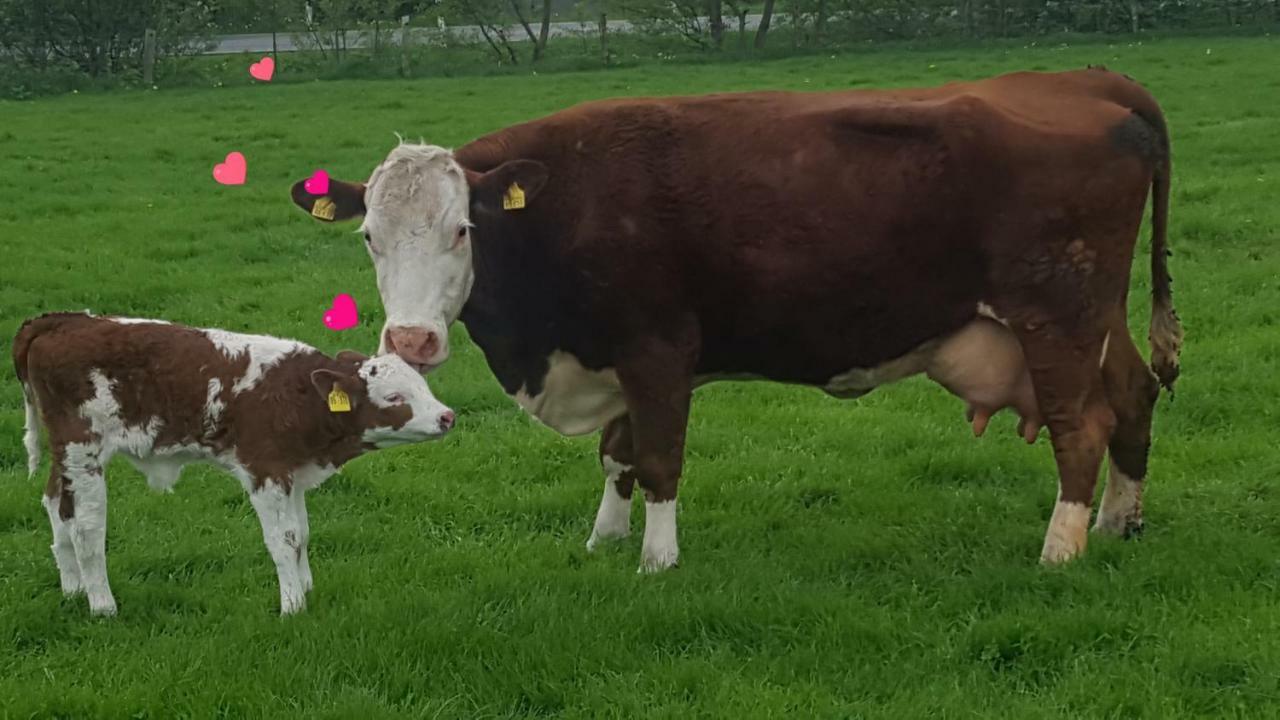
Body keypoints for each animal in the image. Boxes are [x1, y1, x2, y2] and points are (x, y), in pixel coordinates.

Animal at [13, 311, 455, 614]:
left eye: (422, 385)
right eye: (395, 397)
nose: (447, 416)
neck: (294, 396)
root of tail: (61, 320)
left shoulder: (291, 469)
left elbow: (302, 534)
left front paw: (306, 588)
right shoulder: (265, 470)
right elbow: (283, 539)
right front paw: (293, 606)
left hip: (66, 454)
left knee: (56, 505)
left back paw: (73, 589)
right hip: (82, 447)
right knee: (86, 526)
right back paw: (102, 605)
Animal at [290, 67, 1177, 571]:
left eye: (461, 230)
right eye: (369, 237)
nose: (410, 339)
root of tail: (1090, 82)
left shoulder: (658, 350)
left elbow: (657, 459)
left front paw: (657, 561)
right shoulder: (615, 358)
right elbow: (617, 456)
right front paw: (603, 542)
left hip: (1056, 316)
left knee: (1082, 425)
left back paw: (1061, 548)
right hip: (1098, 318)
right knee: (1133, 396)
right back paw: (1120, 521)